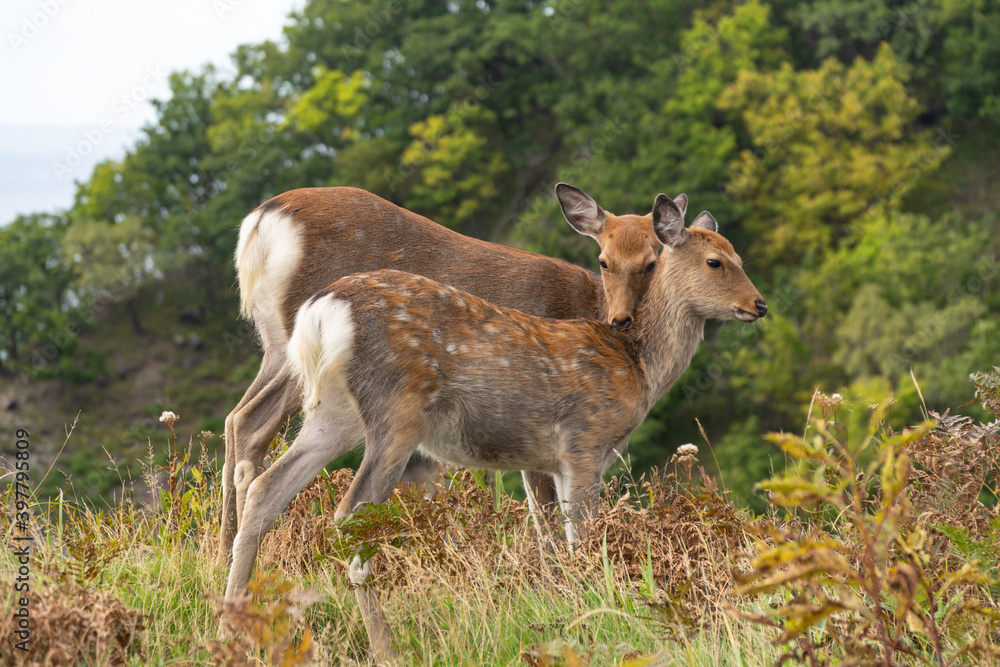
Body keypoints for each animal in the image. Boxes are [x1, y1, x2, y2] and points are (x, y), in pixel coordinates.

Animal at [223, 185, 668, 568]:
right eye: (604, 260)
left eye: (653, 260)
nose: (623, 319)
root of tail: (261, 224)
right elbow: (546, 518)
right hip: (300, 351)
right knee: (253, 421)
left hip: (276, 347)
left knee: (238, 418)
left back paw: (224, 555)